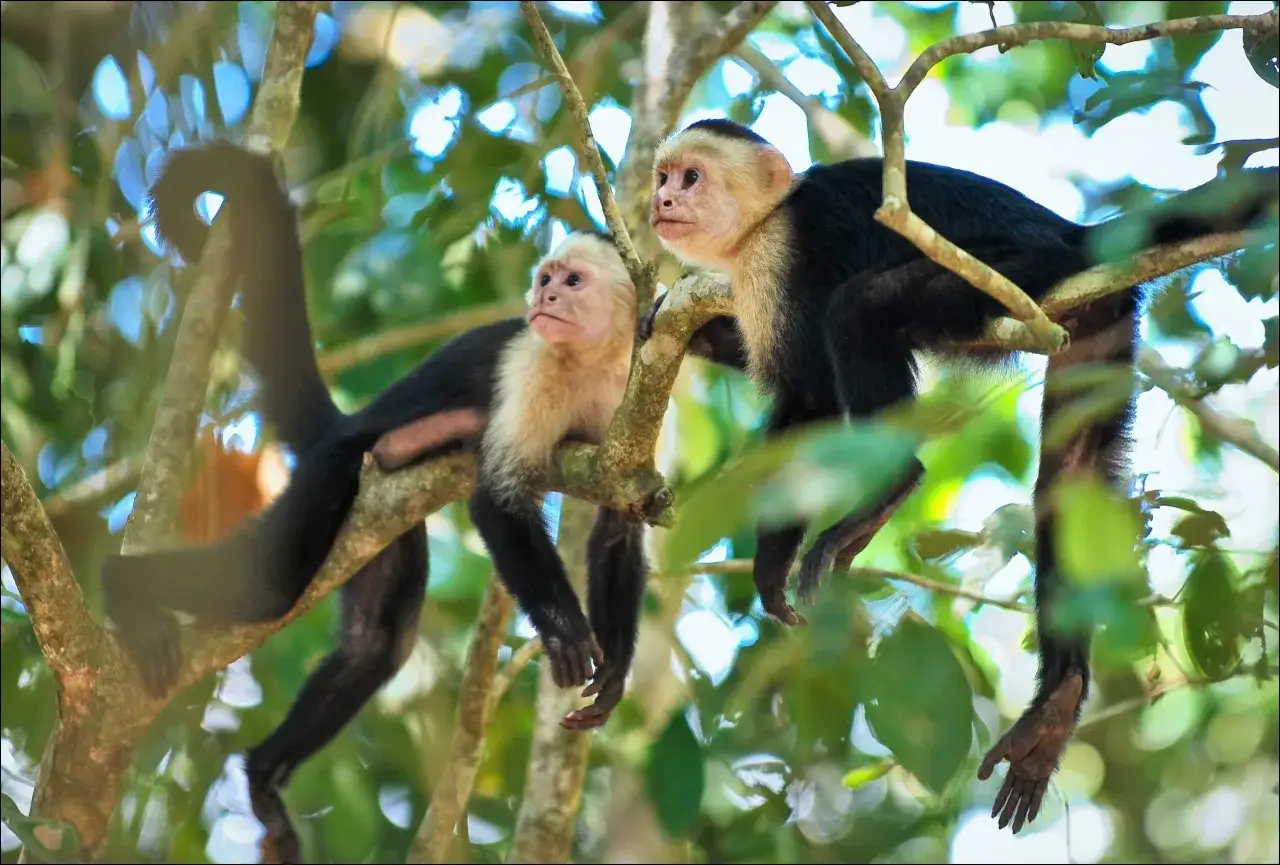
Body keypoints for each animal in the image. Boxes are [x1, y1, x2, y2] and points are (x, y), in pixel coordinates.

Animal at [99, 142, 650, 862]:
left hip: (380, 523)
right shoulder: (533, 365)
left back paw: (263, 774)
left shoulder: (632, 392)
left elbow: (618, 525)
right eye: (545, 278)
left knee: (377, 644)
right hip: (335, 469)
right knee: (269, 587)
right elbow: (495, 499)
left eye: (573, 281)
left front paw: (614, 675)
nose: (546, 295)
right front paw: (564, 629)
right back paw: (123, 586)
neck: (590, 361)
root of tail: (344, 423)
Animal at [639, 118, 1278, 834]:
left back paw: (889, 488)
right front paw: (657, 322)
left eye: (691, 177)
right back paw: (1059, 701)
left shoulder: (783, 256)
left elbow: (813, 396)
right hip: (1096, 311)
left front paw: (773, 559)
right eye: (664, 177)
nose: (662, 200)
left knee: (862, 305)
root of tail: (1072, 233)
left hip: (1013, 271)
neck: (762, 224)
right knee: (1069, 481)